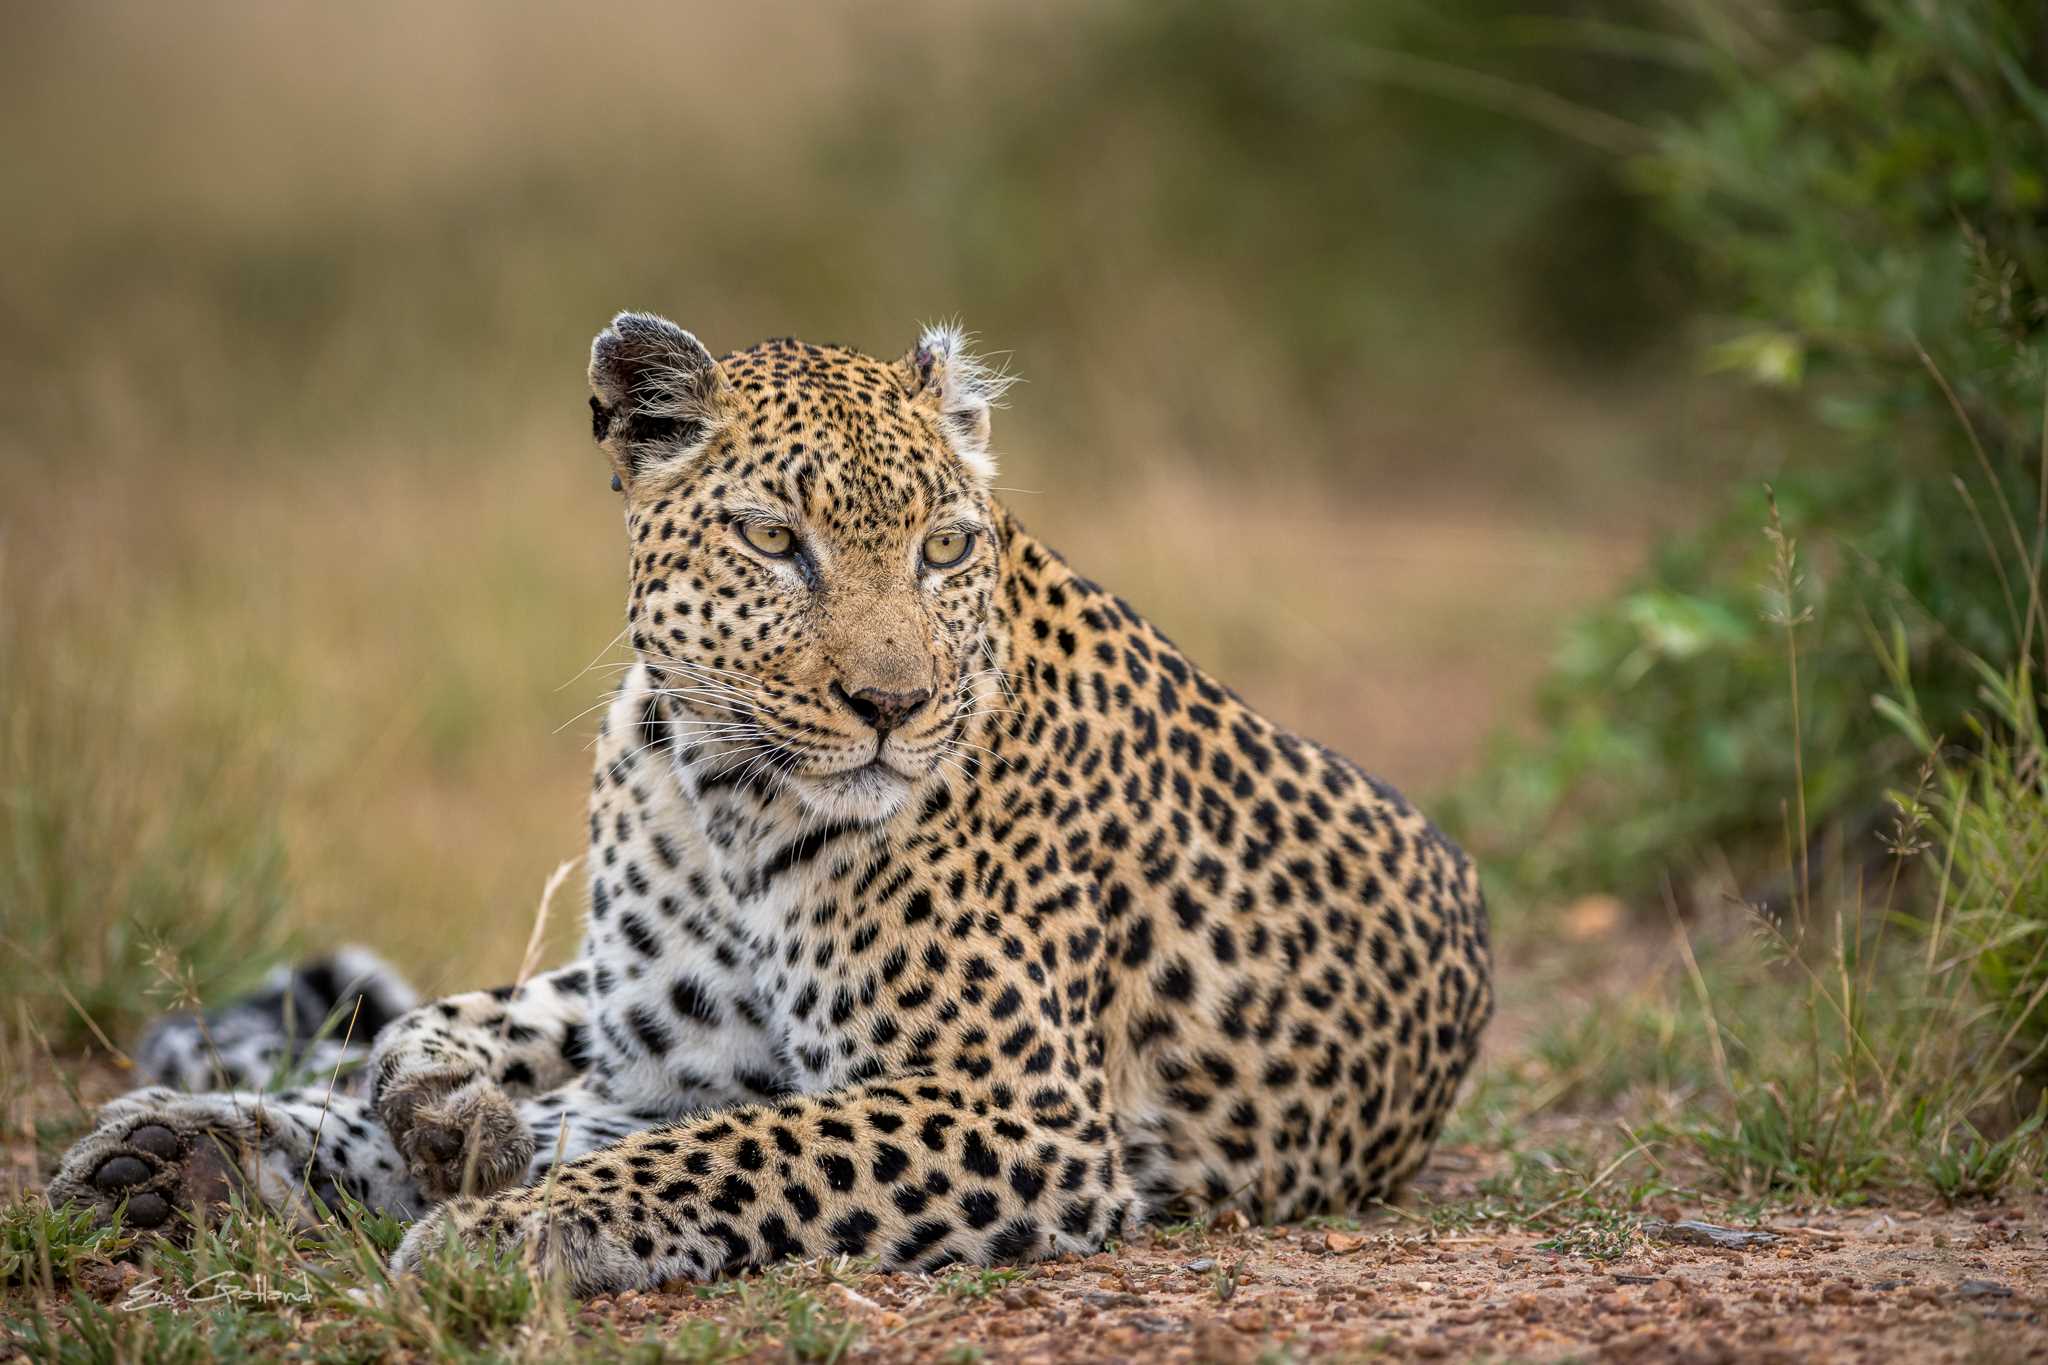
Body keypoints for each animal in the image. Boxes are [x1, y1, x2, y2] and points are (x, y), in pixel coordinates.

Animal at [46, 313, 1493, 1293]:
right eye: (772, 540)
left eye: (943, 547)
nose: (892, 704)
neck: (719, 789)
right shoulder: (667, 1048)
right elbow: (554, 1084)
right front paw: (453, 1140)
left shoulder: (1011, 1103)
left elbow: (734, 1154)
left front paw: (503, 1227)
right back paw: (175, 1154)